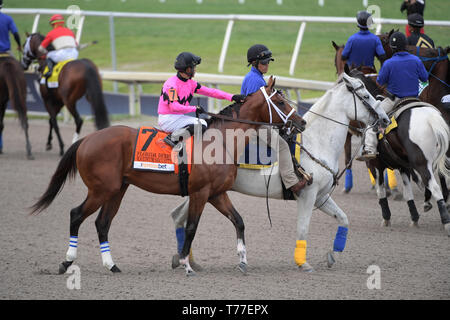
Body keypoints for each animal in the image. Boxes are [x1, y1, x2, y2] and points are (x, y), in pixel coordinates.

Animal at [30, 77, 306, 276]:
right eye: (281, 102)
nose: (301, 123)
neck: (221, 141)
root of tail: (87, 139)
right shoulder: (200, 193)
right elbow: (192, 227)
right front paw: (185, 263)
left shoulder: (216, 193)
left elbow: (238, 221)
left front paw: (242, 260)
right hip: (100, 190)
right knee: (76, 214)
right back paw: (67, 262)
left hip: (117, 190)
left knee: (102, 223)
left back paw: (112, 265)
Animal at [169, 72, 390, 272]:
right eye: (366, 95)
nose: (385, 119)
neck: (316, 141)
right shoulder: (308, 195)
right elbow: (303, 229)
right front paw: (303, 263)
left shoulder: (321, 197)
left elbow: (343, 219)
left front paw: (332, 256)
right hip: (204, 191)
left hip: (205, 192)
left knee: (178, 216)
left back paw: (186, 260)